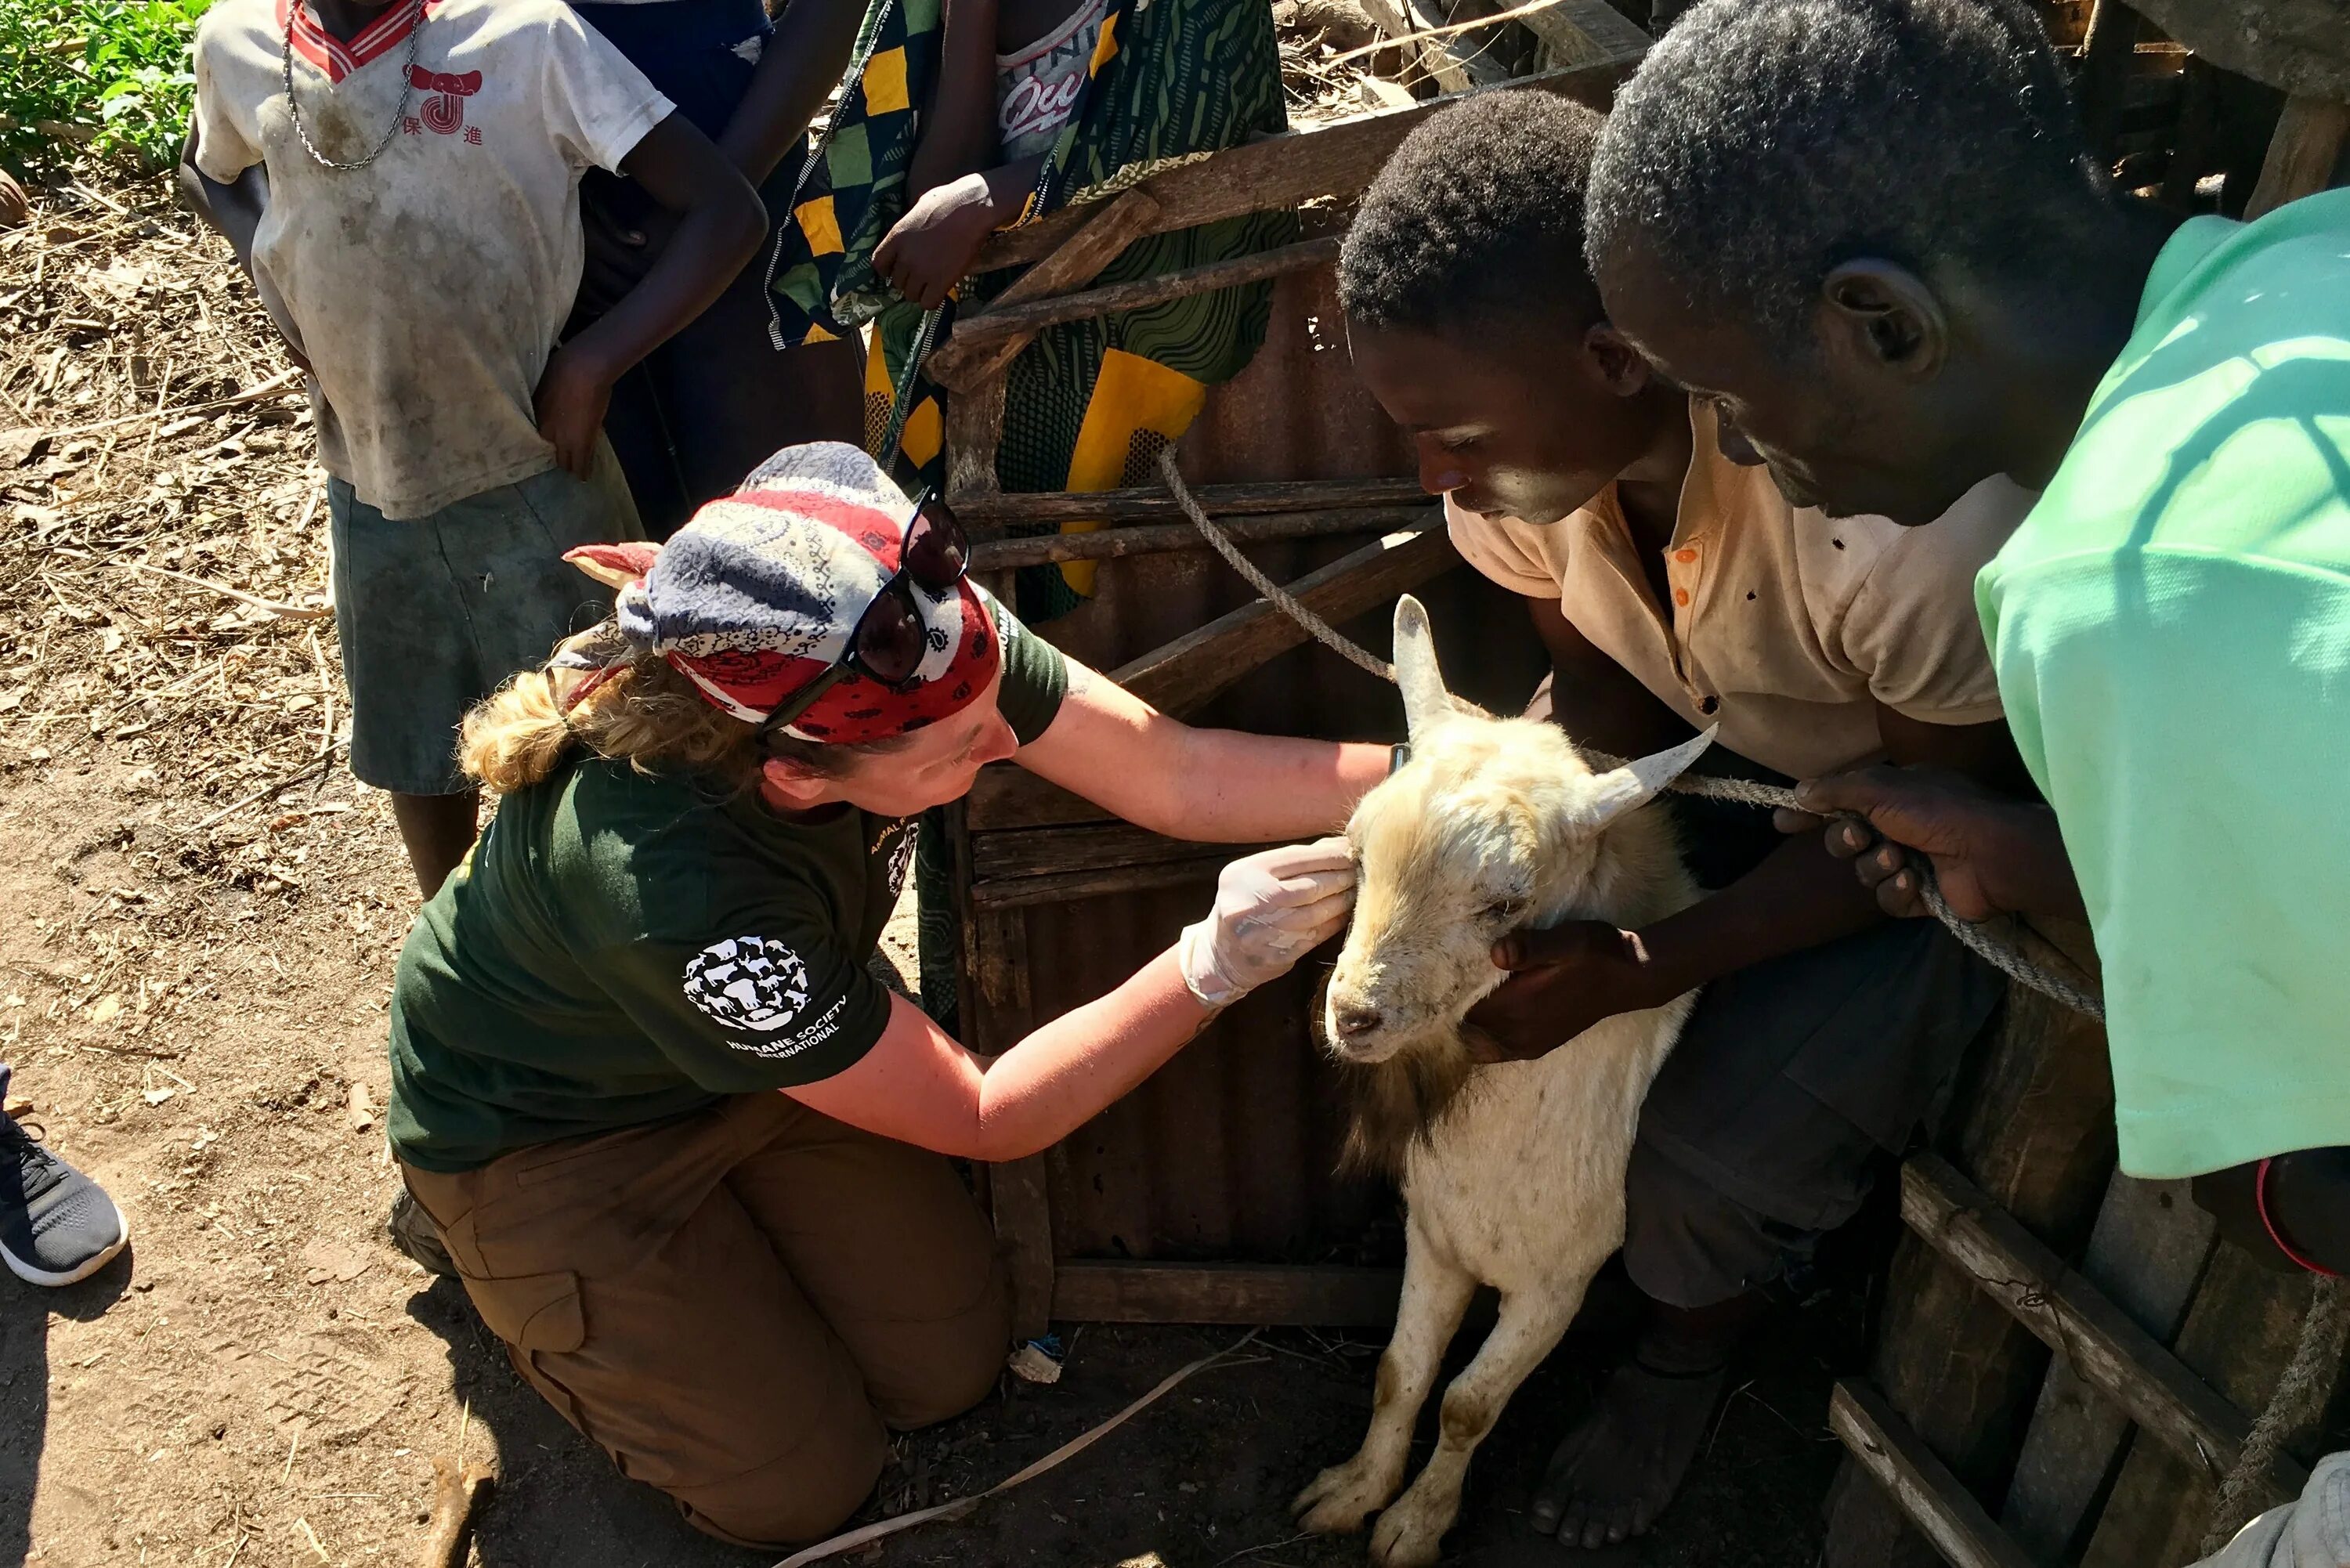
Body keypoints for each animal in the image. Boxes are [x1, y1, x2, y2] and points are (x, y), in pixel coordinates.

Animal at [1288, 594, 1711, 1560]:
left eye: (1507, 903)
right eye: (1355, 851)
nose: (1353, 1016)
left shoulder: (1559, 1278)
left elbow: (1468, 1405)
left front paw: (1412, 1529)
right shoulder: (1435, 1234)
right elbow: (1400, 1373)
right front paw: (1350, 1493)